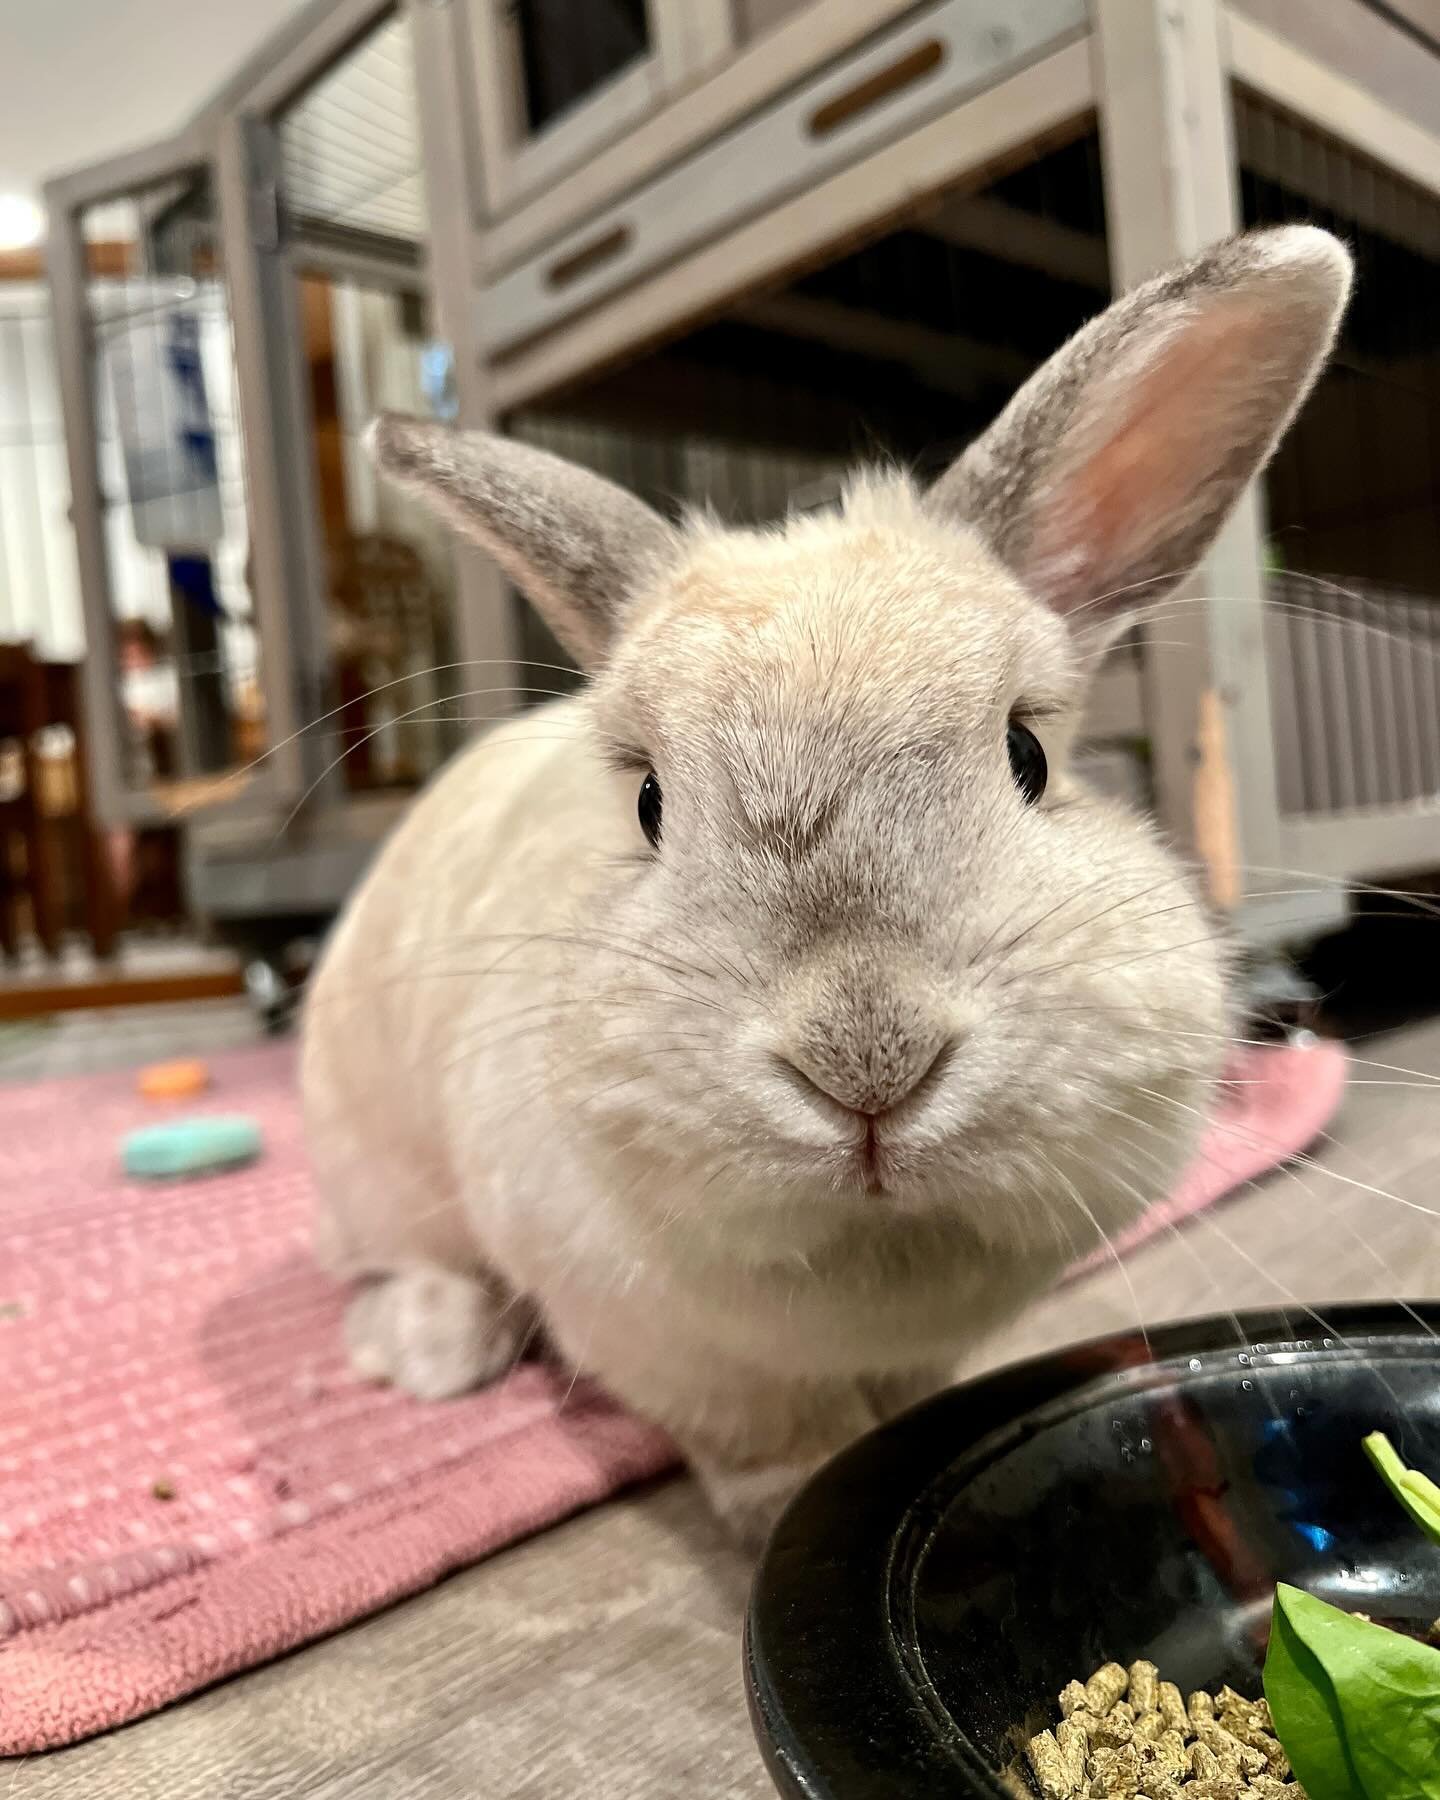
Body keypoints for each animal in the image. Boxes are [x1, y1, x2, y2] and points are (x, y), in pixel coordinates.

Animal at [304, 225, 1353, 1548]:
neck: (876, 1249)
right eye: (649, 805)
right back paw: (437, 1349)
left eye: (1028, 755)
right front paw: (784, 1508)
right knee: (402, 1258)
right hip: (373, 1163)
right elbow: (763, 1442)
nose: (867, 1060)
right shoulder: (667, 1350)